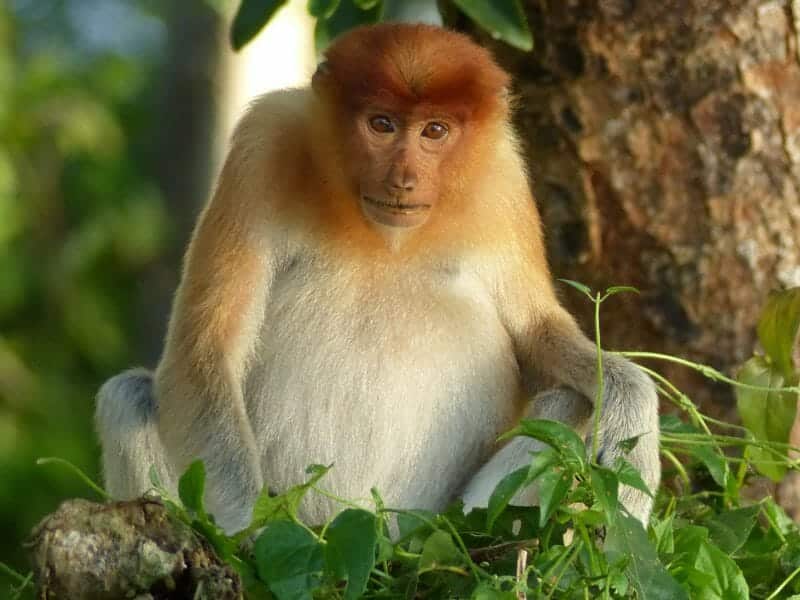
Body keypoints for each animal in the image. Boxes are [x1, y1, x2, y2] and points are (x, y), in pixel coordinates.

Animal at [96, 23, 660, 534]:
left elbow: (534, 330)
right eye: (382, 124)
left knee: (572, 402)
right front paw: (256, 534)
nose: (403, 180)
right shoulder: (262, 143)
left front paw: (631, 406)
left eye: (435, 130)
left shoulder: (503, 180)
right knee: (128, 394)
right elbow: (204, 346)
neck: (386, 236)